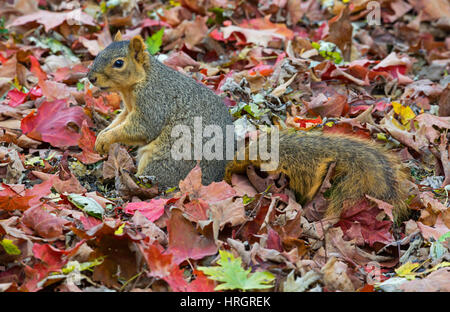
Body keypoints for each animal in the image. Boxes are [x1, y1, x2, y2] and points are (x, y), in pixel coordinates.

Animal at [88, 33, 412, 224]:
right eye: (99, 53)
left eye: (118, 63)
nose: (90, 78)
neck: (137, 84)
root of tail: (220, 175)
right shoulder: (127, 108)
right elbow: (119, 121)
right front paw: (102, 136)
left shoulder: (154, 102)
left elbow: (142, 127)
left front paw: (105, 139)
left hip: (164, 159)